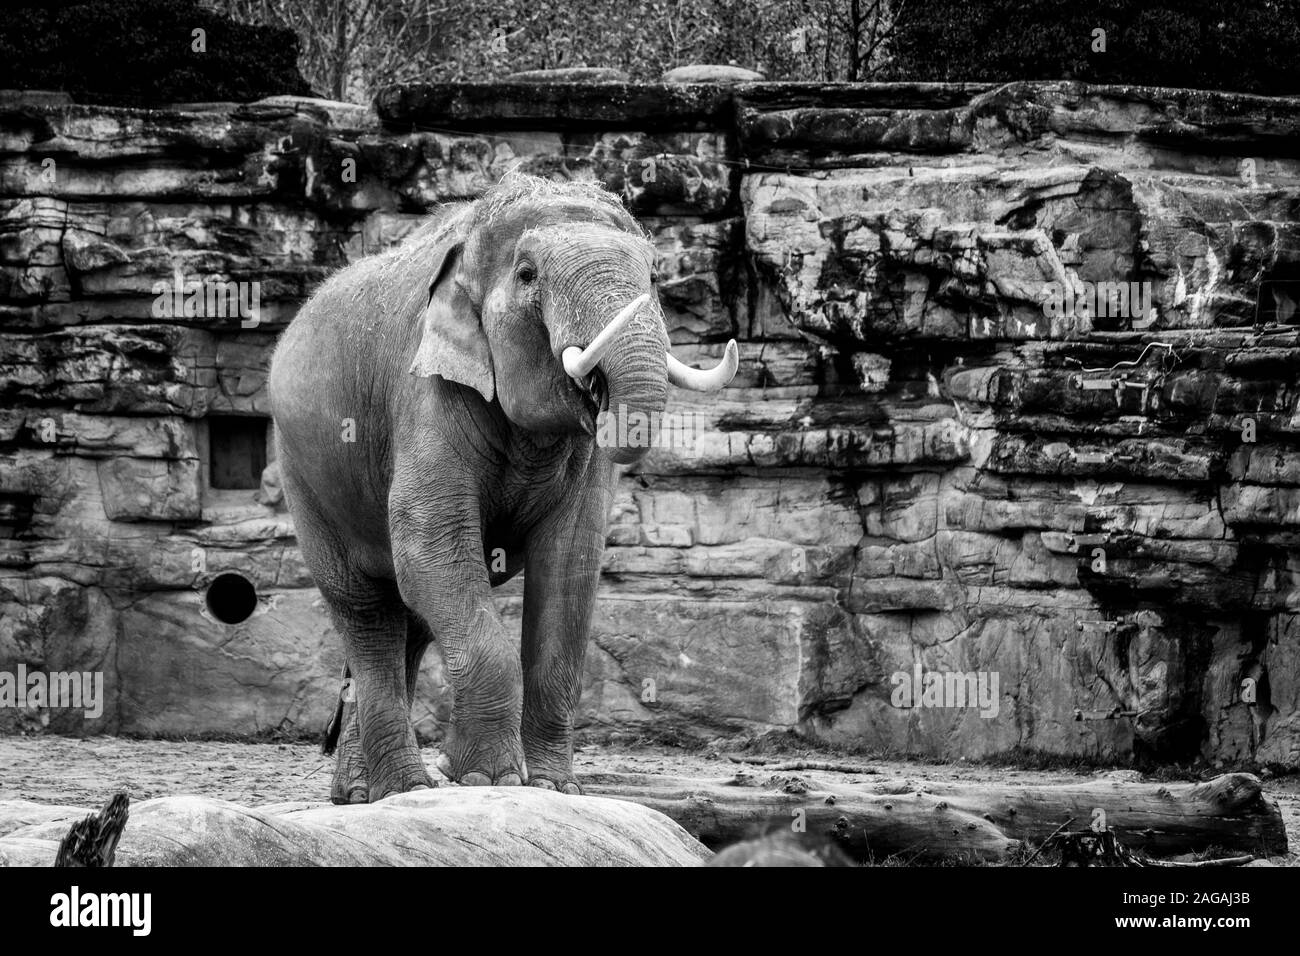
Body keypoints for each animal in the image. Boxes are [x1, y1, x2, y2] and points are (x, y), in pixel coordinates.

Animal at [269, 171, 738, 801]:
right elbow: (433, 549)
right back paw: (402, 792)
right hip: (303, 475)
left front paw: (553, 789)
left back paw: (367, 796)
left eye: (657, 277)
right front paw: (482, 778)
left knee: (408, 620)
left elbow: (570, 563)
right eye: (528, 275)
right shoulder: (425, 387)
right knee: (366, 610)